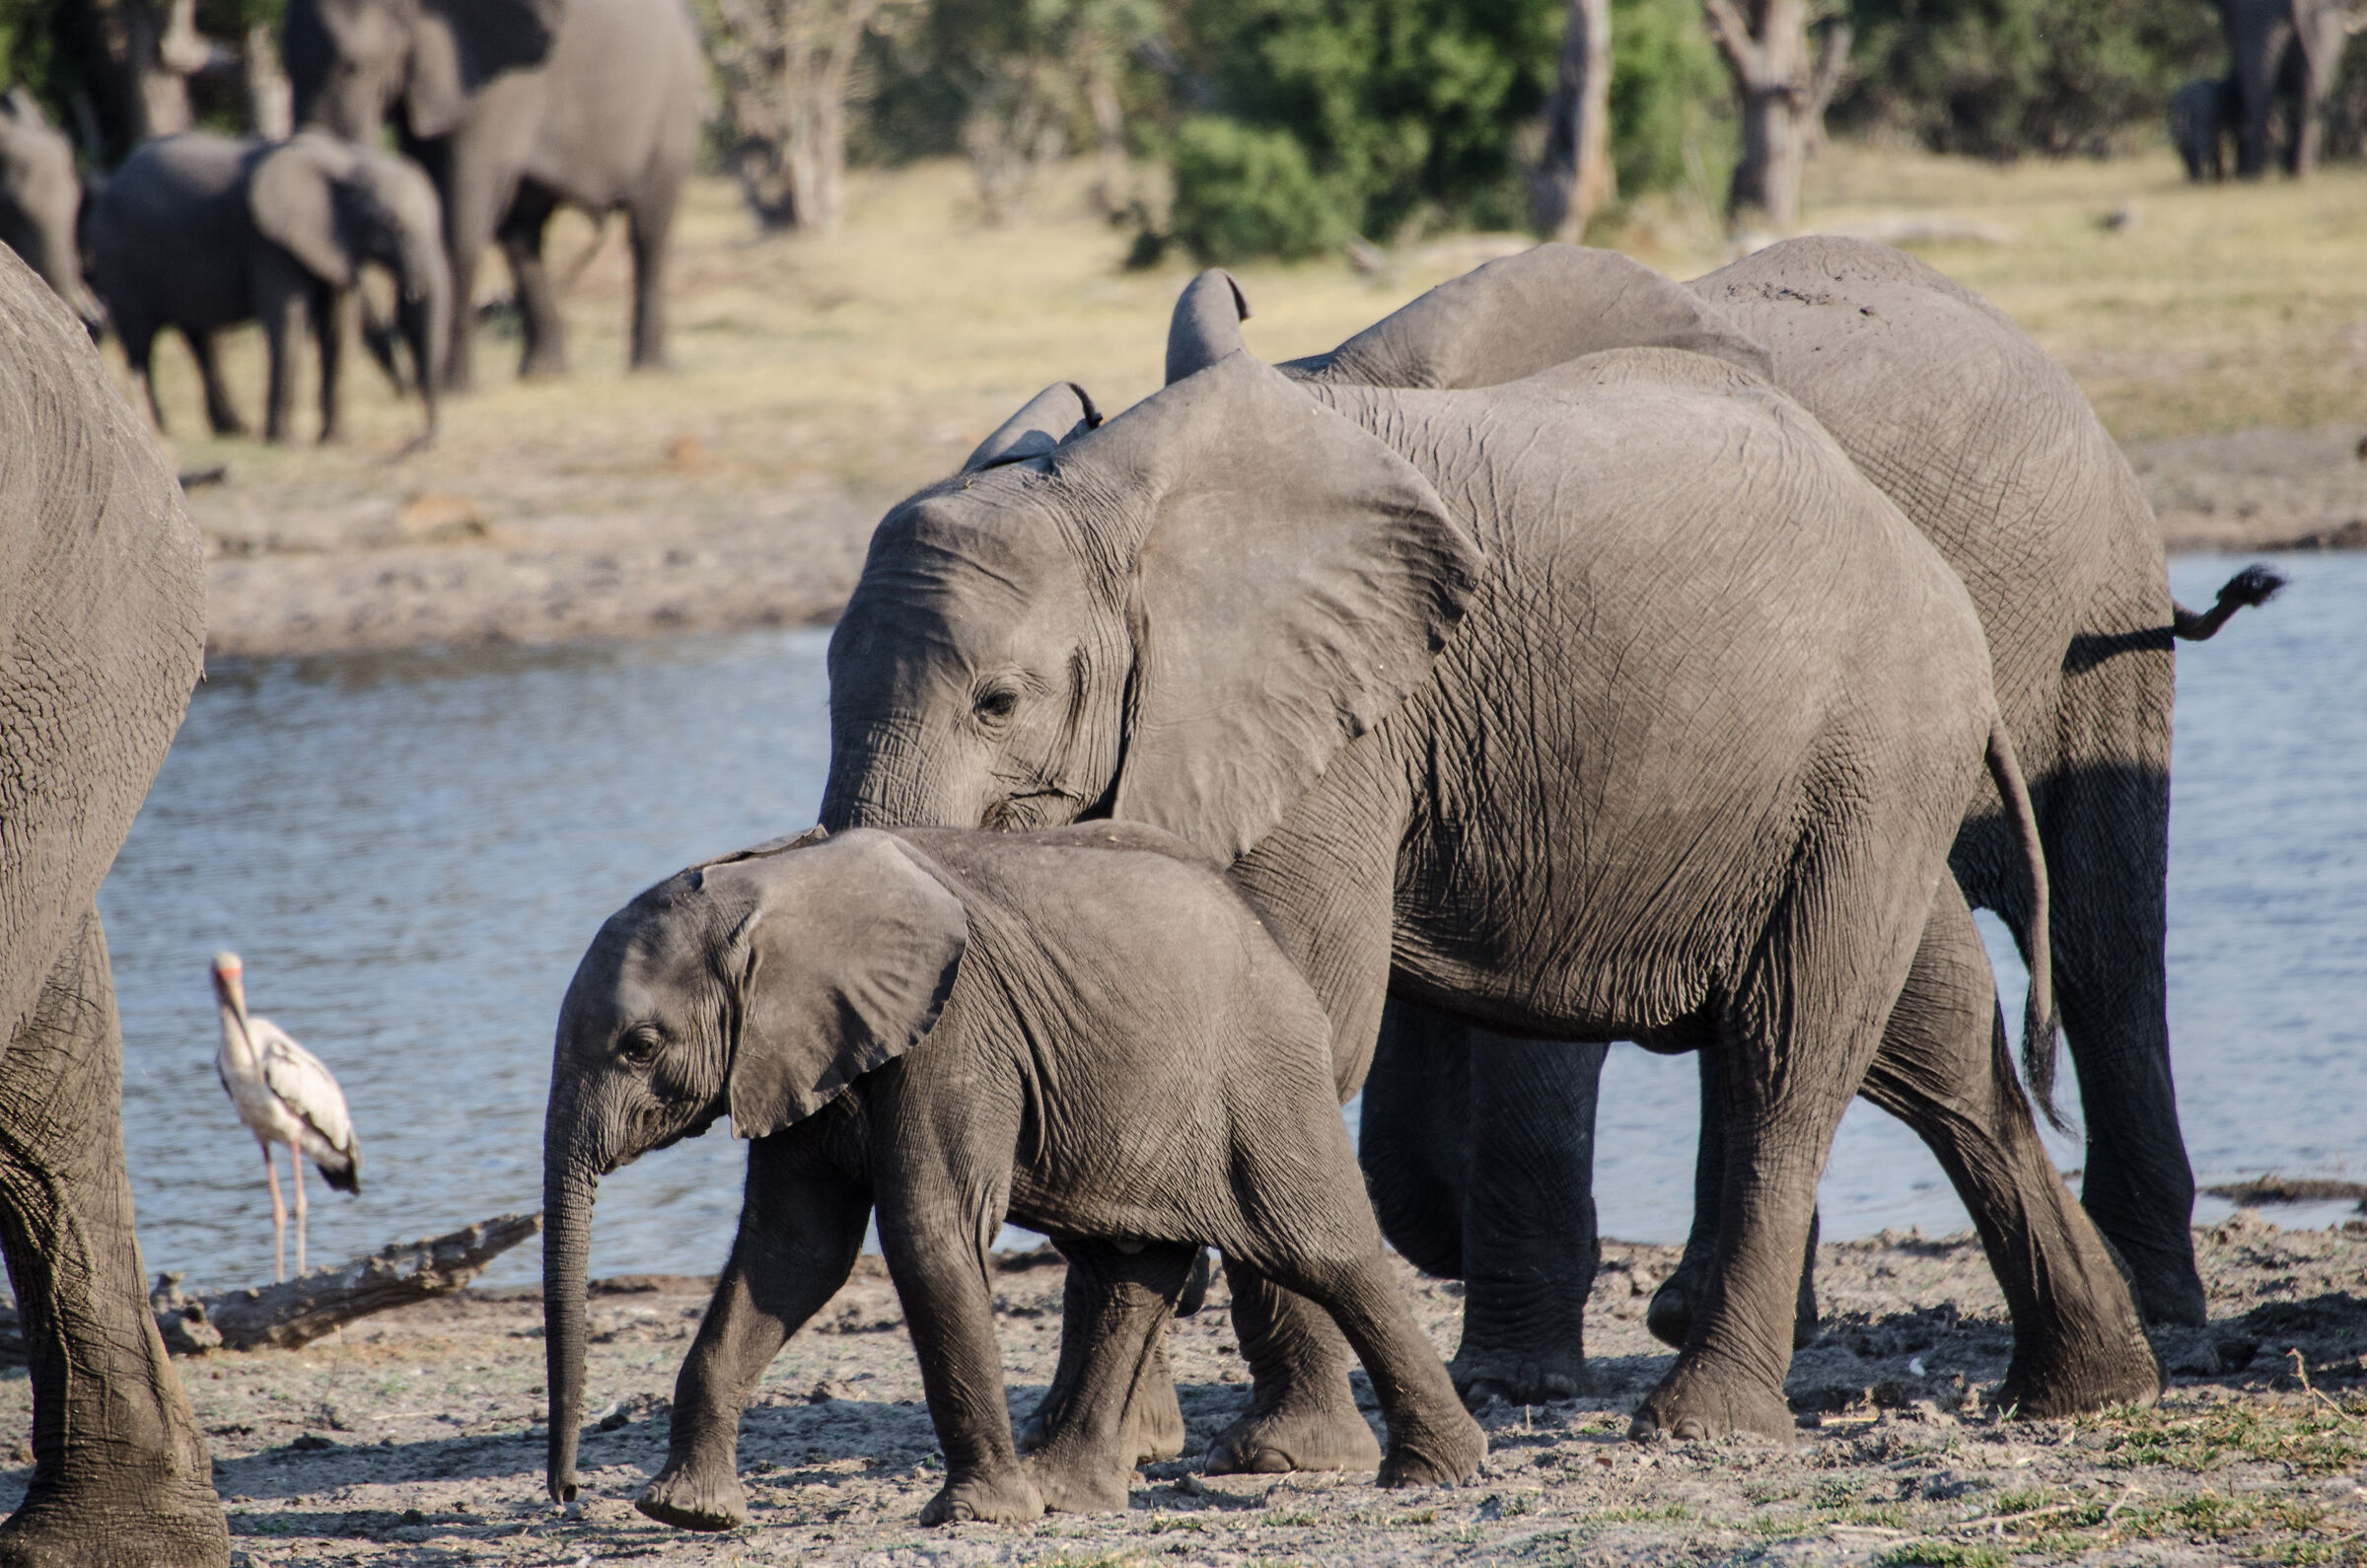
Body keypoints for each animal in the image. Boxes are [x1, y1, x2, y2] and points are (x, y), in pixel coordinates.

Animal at [88, 130, 449, 443]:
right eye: (393, 226)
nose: (424, 437)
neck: (346, 159)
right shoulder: (269, 243)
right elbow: (288, 319)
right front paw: (285, 441)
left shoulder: (332, 243)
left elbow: (336, 327)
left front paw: (338, 439)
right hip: (119, 255)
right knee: (140, 343)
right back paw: (160, 431)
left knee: (200, 340)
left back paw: (233, 429)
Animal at [284, 0, 704, 390]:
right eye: (285, 71)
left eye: (354, 66)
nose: (402, 383)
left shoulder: (497, 80)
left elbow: (461, 210)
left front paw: (450, 388)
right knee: (521, 235)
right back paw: (544, 374)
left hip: (673, 101)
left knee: (649, 228)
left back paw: (651, 371)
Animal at [540, 823, 1486, 1531]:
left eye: (640, 1047)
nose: (567, 1493)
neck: (773, 883)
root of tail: (1264, 930)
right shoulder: (793, 1056)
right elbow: (792, 1252)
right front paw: (686, 1513)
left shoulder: (953, 1031)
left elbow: (928, 1231)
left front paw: (977, 1517)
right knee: (1130, 1271)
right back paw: (1069, 1496)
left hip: (1262, 1070)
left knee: (1323, 1252)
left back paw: (1438, 1473)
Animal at [815, 293, 2165, 1452]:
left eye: (998, 702)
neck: (1122, 495)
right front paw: (1128, 1444)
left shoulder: (1347, 729)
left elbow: (1300, 1016)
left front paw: (1284, 1458)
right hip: (1852, 772)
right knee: (1934, 1040)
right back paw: (2091, 1390)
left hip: (1878, 740)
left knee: (1794, 1051)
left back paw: (1705, 1424)